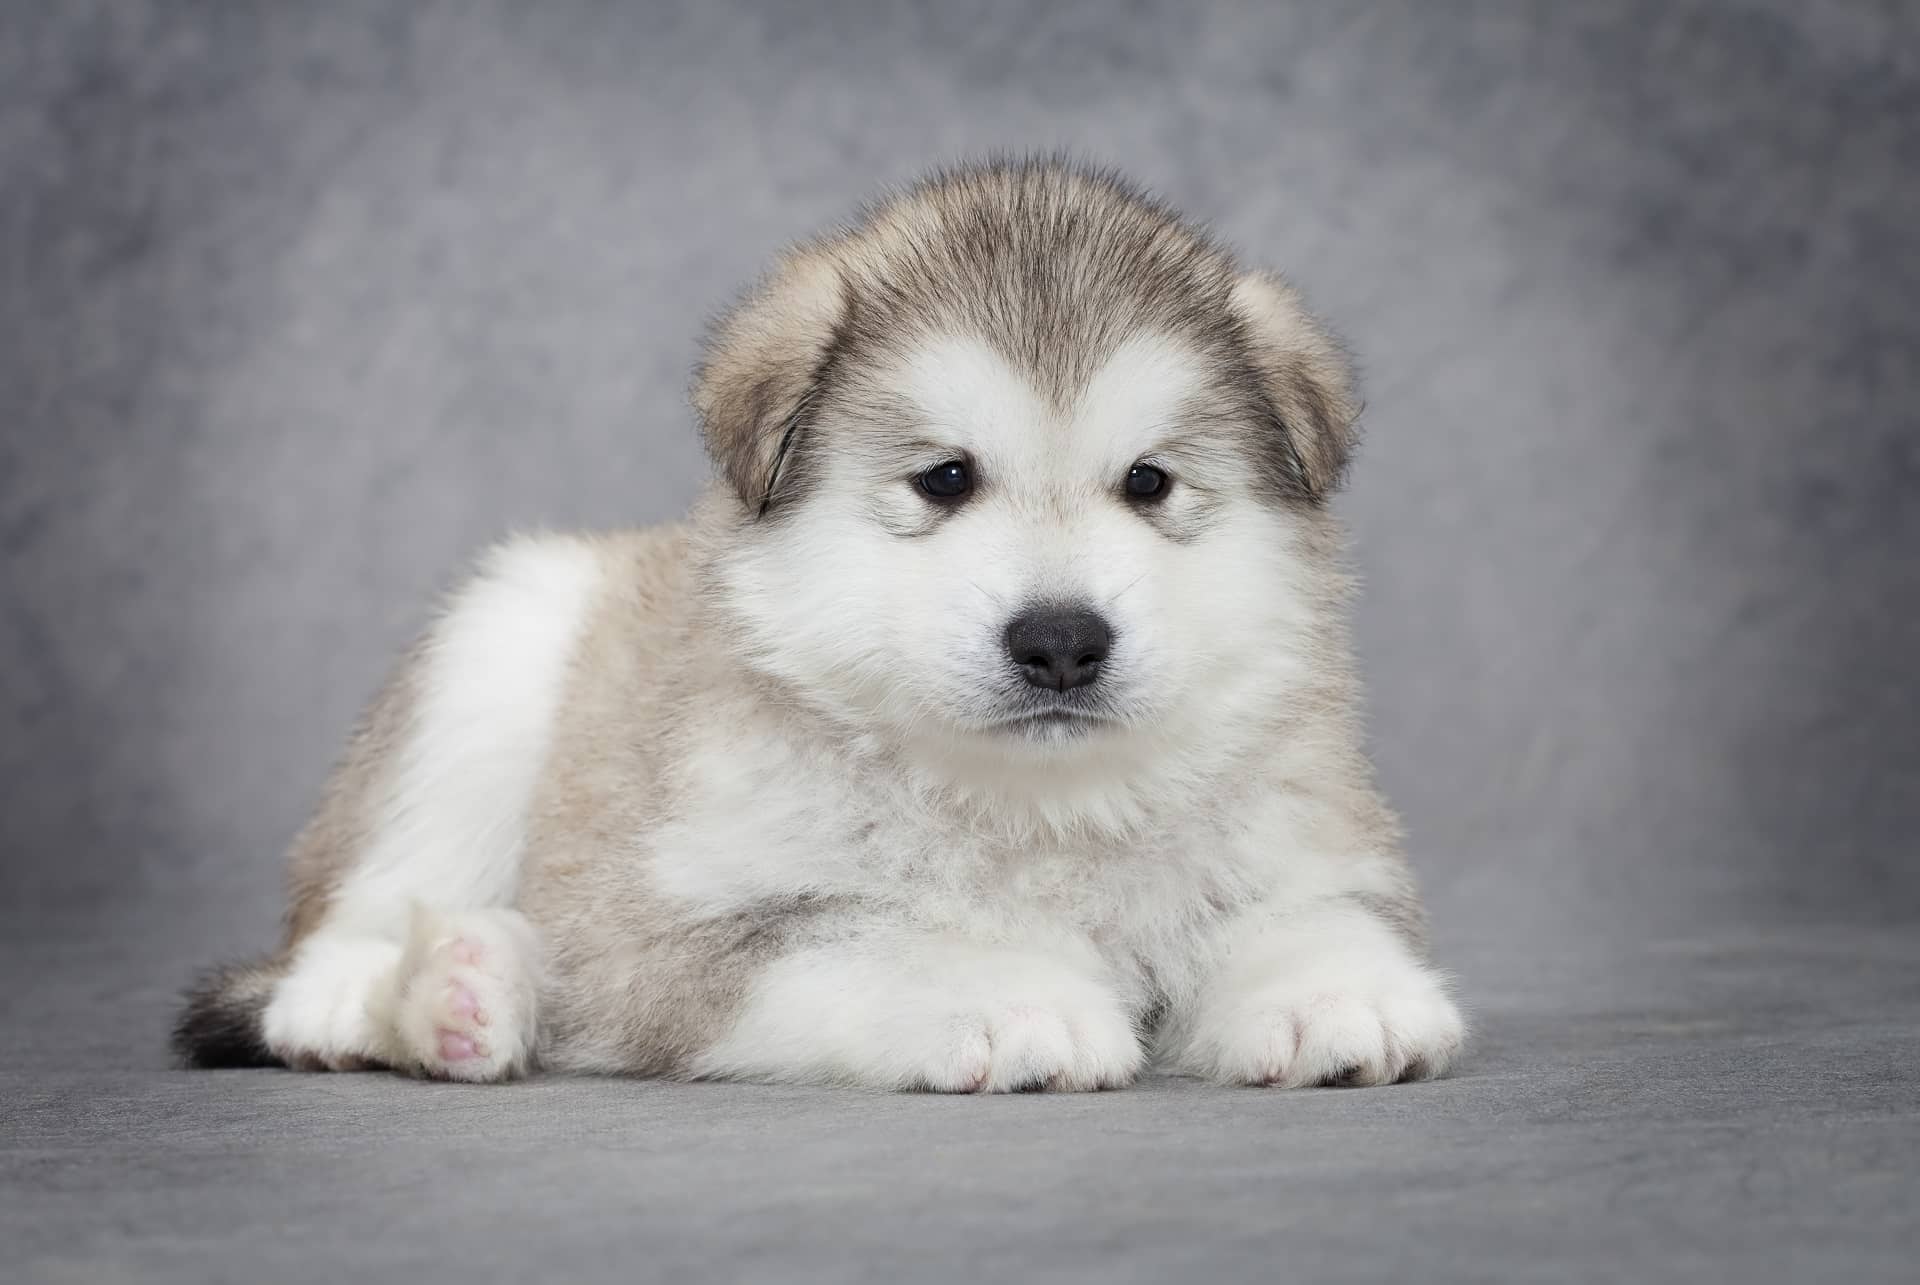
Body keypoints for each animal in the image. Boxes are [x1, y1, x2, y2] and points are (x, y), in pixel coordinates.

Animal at [183, 157, 1466, 1083]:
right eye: (944, 479)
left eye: (1148, 483)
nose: (1060, 639)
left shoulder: (1302, 838)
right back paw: (438, 993)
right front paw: (1008, 993)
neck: (1032, 808)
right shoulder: (682, 935)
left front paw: (1332, 989)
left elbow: (1302, 912)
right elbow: (870, 935)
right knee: (335, 943)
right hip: (494, 658)